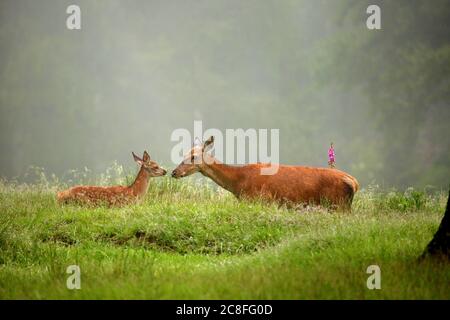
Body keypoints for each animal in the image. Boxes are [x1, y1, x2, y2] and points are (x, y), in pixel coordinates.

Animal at [172, 137, 358, 210]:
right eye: (184, 154)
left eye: (193, 157)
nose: (174, 172)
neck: (238, 183)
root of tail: (354, 183)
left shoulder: (259, 199)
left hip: (337, 203)